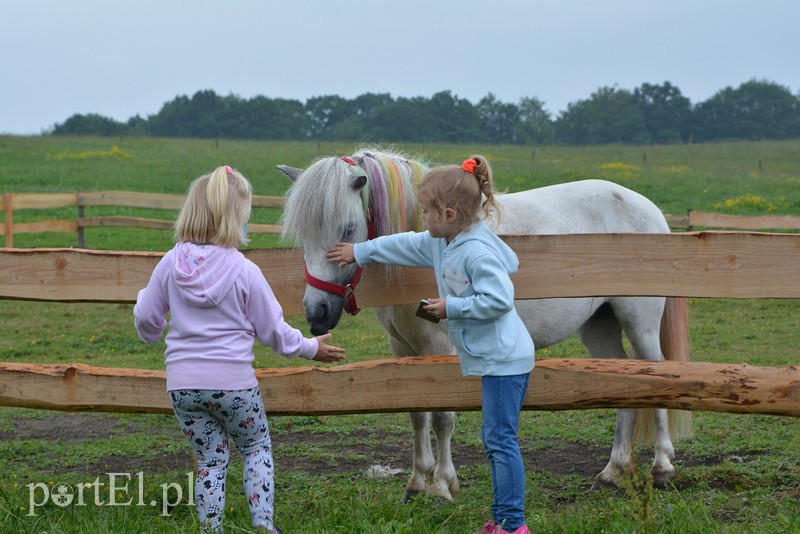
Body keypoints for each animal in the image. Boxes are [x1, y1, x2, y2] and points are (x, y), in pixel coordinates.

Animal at [278, 148, 692, 502]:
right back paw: (612, 471)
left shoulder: (439, 350)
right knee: (623, 384)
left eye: (348, 229)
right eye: (303, 235)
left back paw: (662, 466)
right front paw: (416, 482)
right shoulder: (404, 350)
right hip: (598, 326)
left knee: (657, 375)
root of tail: (648, 208)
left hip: (639, 324)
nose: (316, 313)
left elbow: (442, 417)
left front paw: (442, 486)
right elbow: (416, 414)